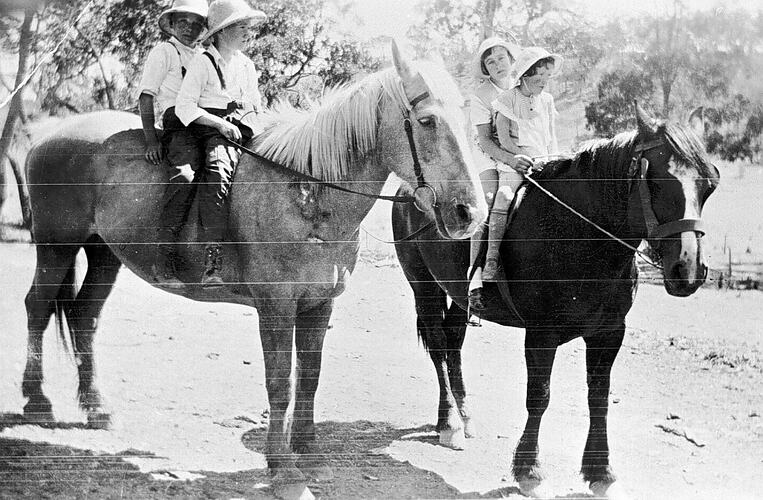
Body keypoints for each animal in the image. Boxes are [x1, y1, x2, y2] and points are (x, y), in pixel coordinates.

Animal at [20, 43, 487, 497]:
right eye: (427, 121)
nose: (471, 213)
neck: (308, 196)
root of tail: (46, 139)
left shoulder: (318, 305)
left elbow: (310, 377)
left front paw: (309, 456)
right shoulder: (275, 307)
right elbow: (280, 382)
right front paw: (283, 469)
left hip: (104, 254)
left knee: (84, 316)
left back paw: (96, 407)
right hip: (56, 247)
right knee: (38, 308)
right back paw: (36, 400)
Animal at [391, 104, 719, 499]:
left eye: (709, 184)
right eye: (656, 179)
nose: (688, 269)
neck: (578, 233)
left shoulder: (609, 334)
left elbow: (598, 399)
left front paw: (600, 472)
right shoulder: (541, 335)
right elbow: (539, 397)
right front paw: (529, 471)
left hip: (457, 293)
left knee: (453, 342)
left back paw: (465, 415)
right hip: (423, 285)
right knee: (439, 346)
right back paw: (449, 424)